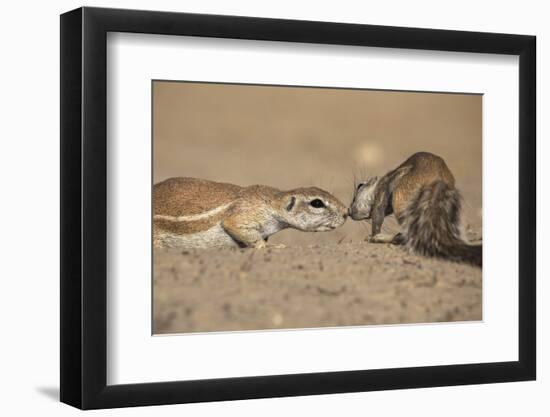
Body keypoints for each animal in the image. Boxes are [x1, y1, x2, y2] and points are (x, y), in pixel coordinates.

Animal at [153, 177, 348, 249]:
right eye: (317, 203)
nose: (347, 212)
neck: (273, 202)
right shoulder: (245, 213)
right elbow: (235, 225)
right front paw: (270, 247)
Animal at [354, 151, 484, 264]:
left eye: (360, 186)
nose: (350, 212)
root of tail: (437, 181)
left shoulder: (382, 187)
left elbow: (378, 213)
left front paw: (372, 236)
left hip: (403, 204)